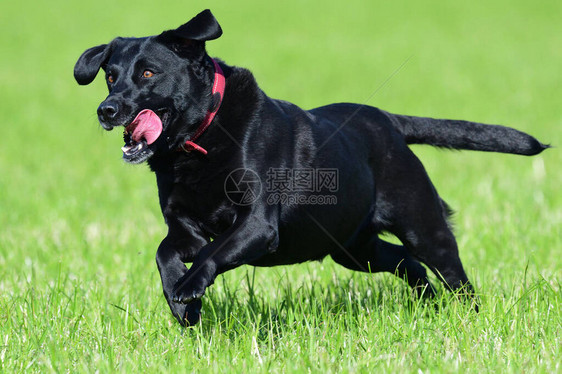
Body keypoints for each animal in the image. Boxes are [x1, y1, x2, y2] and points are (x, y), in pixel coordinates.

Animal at [74, 8, 548, 324]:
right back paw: (426, 303)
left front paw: (189, 288)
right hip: (354, 247)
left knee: (452, 273)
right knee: (404, 263)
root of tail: (390, 121)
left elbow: (212, 252)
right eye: (110, 75)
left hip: (421, 225)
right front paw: (179, 301)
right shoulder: (184, 226)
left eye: (149, 74)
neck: (201, 142)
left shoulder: (256, 225)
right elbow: (164, 251)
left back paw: (468, 314)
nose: (106, 110)